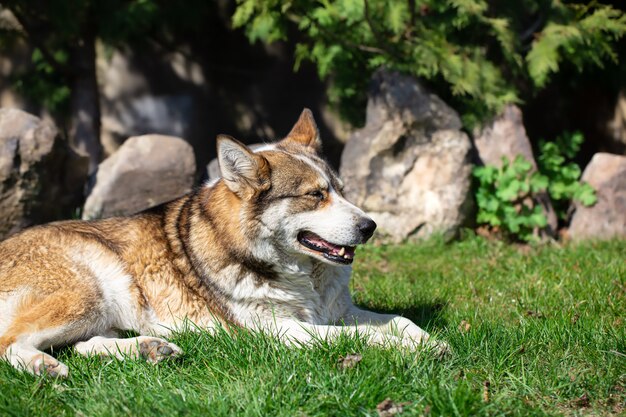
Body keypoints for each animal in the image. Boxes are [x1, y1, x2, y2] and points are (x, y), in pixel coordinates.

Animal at [0, 109, 444, 376]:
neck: (301, 277)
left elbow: (400, 321)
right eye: (315, 195)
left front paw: (430, 341)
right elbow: (363, 337)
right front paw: (409, 350)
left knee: (84, 346)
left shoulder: (337, 312)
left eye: (341, 190)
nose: (371, 227)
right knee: (11, 344)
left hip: (102, 310)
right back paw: (42, 367)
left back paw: (150, 349)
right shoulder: (284, 331)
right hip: (93, 288)